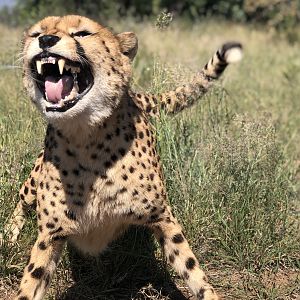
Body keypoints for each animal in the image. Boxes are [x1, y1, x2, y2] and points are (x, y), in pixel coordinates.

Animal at [1, 15, 241, 300]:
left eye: (82, 33)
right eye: (36, 33)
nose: (46, 40)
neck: (88, 138)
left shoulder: (163, 219)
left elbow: (192, 269)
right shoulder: (50, 236)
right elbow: (31, 283)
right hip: (32, 185)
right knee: (21, 201)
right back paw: (7, 236)